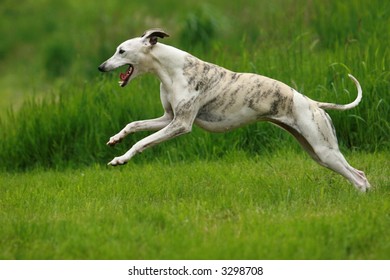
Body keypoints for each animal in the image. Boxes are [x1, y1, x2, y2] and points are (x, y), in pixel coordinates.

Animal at [98, 28, 372, 191]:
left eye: (121, 50)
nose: (101, 67)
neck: (173, 69)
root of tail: (313, 103)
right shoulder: (169, 118)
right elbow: (134, 125)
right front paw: (115, 139)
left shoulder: (181, 124)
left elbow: (142, 142)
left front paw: (120, 159)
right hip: (316, 151)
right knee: (359, 174)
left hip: (324, 149)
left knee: (358, 178)